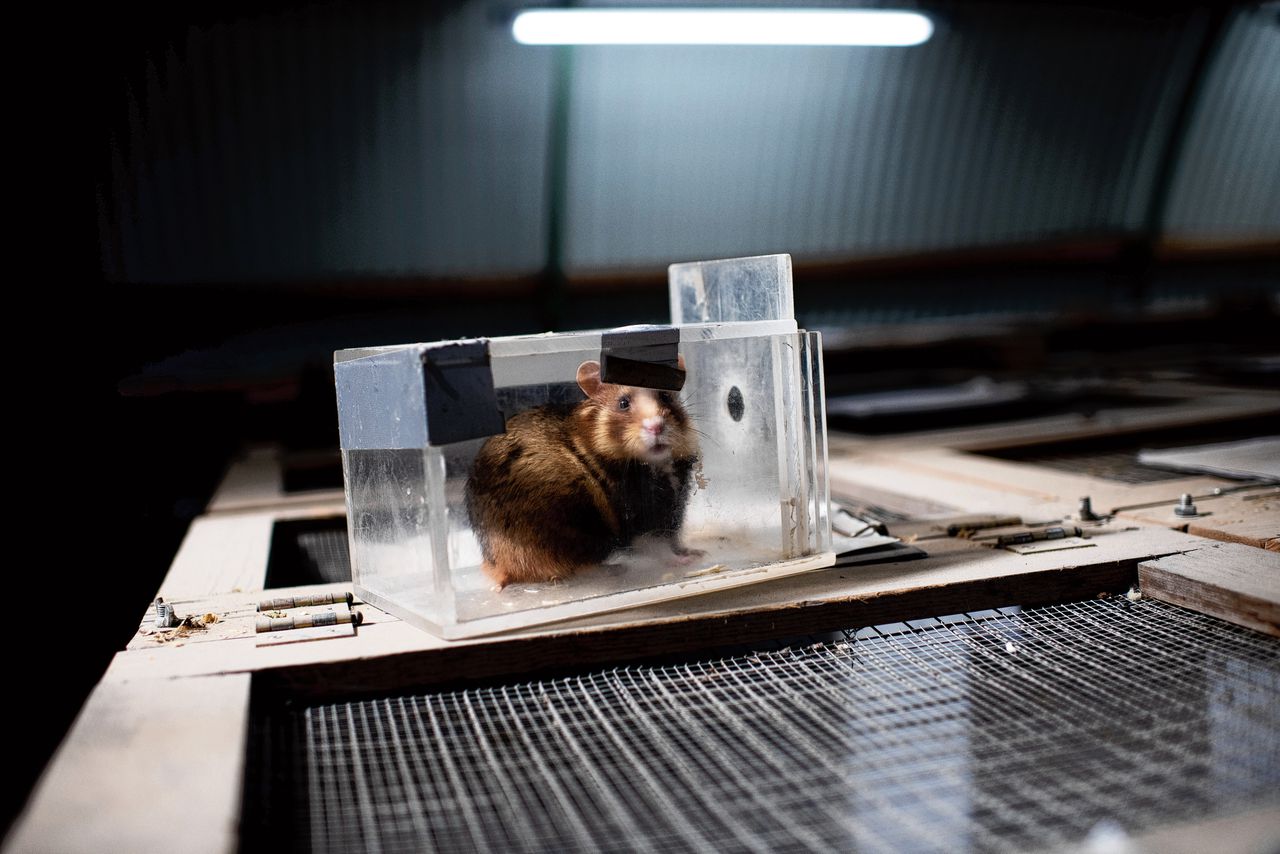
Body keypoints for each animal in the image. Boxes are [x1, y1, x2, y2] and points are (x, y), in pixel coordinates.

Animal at [465, 358, 701, 588]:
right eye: (623, 403)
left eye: (665, 396)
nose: (656, 427)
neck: (656, 464)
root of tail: (500, 568)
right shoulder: (637, 518)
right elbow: (656, 545)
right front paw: (685, 560)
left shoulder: (675, 507)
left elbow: (673, 539)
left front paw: (695, 552)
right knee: (573, 568)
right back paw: (617, 569)